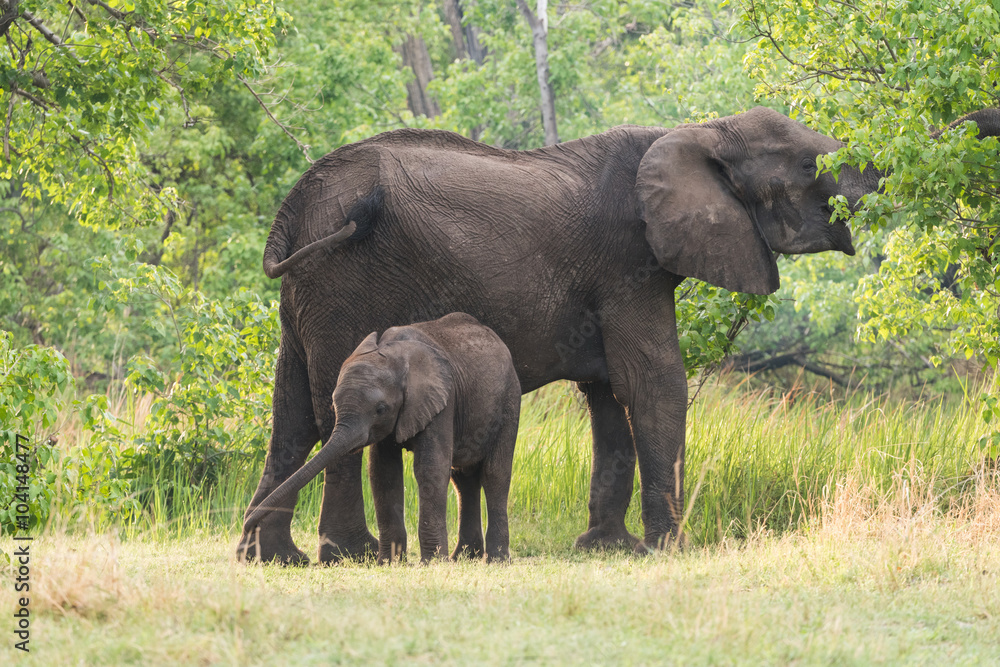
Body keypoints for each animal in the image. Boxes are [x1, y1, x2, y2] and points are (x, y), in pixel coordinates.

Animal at [245, 314, 520, 564]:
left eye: (380, 409)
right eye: (334, 403)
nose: (247, 524)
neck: (394, 352)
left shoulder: (443, 399)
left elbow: (430, 468)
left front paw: (431, 563)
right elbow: (383, 472)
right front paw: (388, 562)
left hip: (510, 401)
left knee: (495, 474)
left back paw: (495, 560)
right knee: (463, 479)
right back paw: (463, 557)